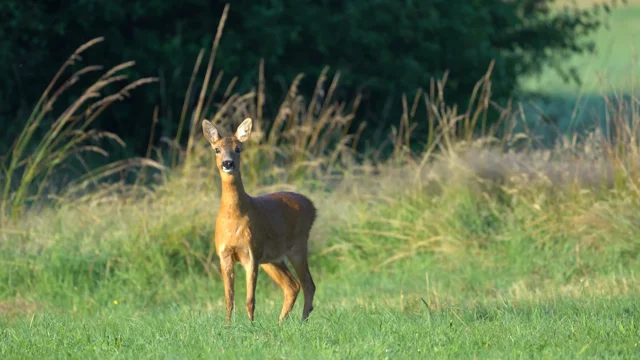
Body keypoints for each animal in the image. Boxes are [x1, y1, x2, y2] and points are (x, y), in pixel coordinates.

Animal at [202, 116, 318, 324]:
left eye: (238, 148)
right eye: (217, 149)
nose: (228, 163)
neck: (233, 219)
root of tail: (311, 206)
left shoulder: (251, 253)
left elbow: (250, 299)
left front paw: (251, 325)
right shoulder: (224, 254)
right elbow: (229, 298)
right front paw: (228, 326)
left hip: (297, 246)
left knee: (308, 284)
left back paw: (301, 321)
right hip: (272, 258)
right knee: (292, 285)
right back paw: (281, 323)